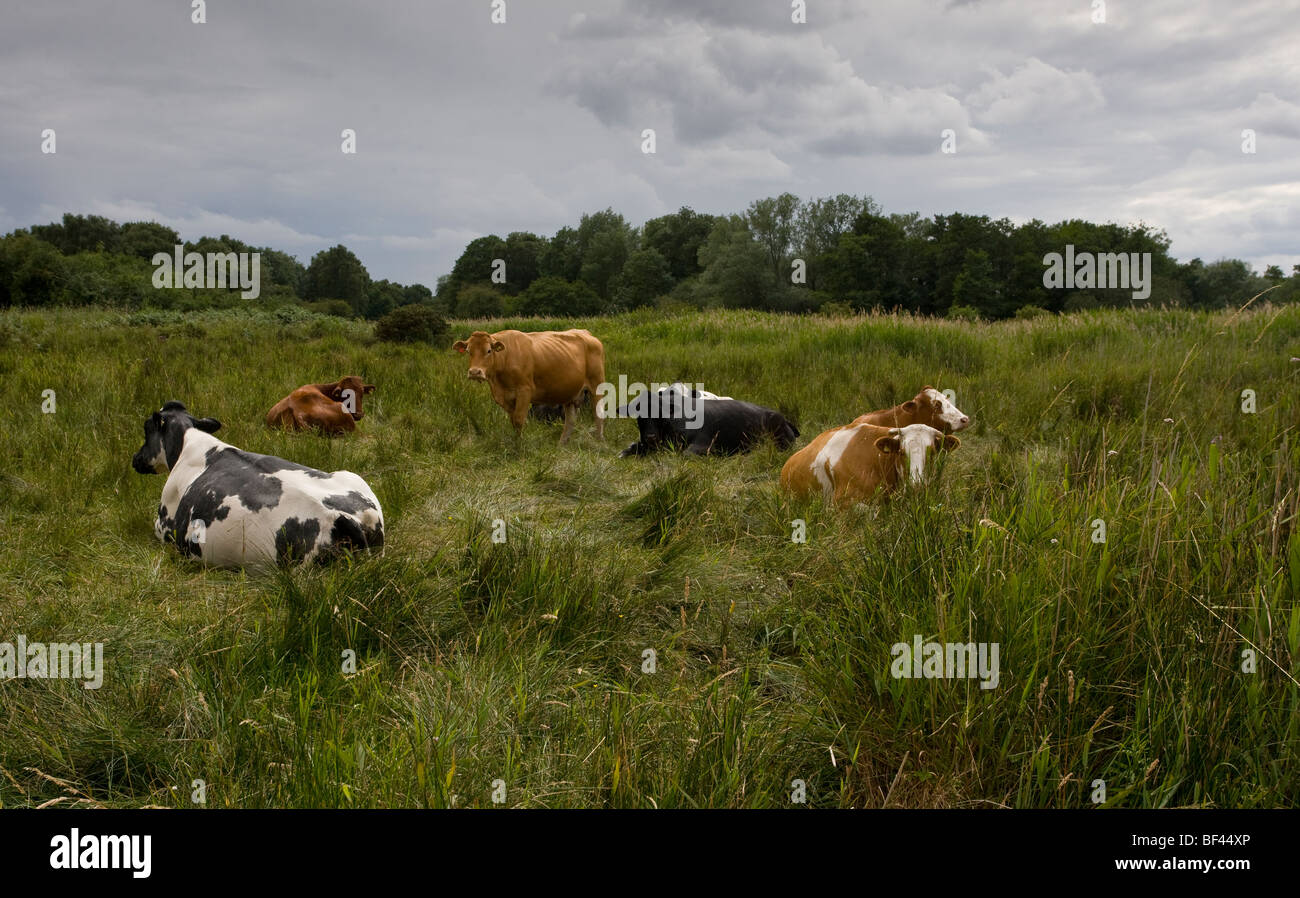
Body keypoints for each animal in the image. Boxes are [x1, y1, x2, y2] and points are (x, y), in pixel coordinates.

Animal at [133, 402, 384, 569]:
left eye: (146, 429)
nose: (135, 458)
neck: (189, 444)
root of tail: (347, 518)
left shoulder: (163, 525)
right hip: (351, 476)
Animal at [452, 328, 603, 444]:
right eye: (468, 351)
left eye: (489, 350)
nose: (474, 372)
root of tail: (585, 333)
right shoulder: (504, 397)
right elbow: (513, 421)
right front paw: (516, 442)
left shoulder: (524, 391)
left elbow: (519, 420)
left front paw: (519, 446)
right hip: (571, 393)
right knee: (570, 421)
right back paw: (562, 444)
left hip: (597, 384)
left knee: (598, 414)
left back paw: (600, 442)